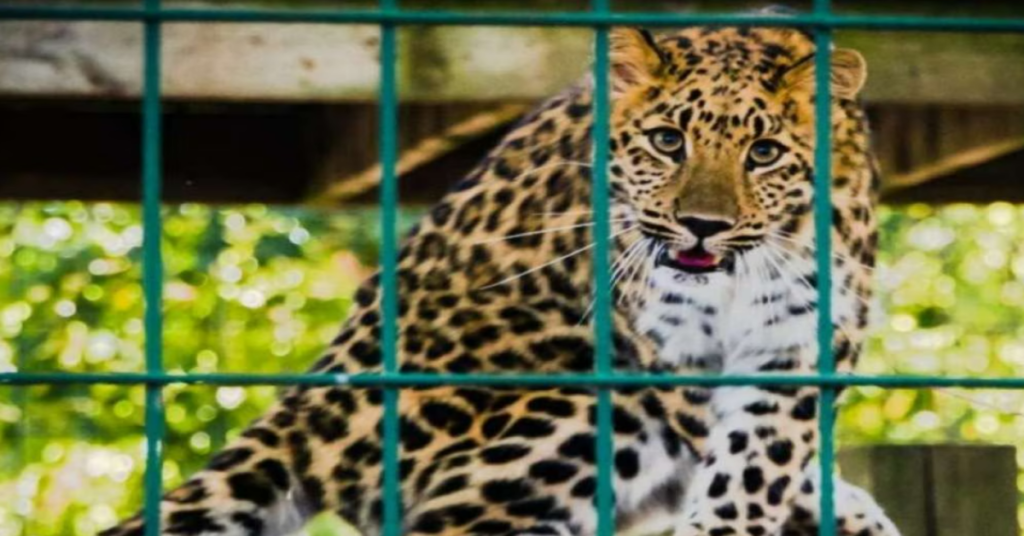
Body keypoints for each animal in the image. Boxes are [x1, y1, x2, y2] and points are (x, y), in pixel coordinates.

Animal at [100, 24, 901, 536]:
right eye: (668, 141)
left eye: (764, 153)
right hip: (572, 410)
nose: (701, 226)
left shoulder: (800, 341)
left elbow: (763, 459)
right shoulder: (670, 357)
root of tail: (311, 403)